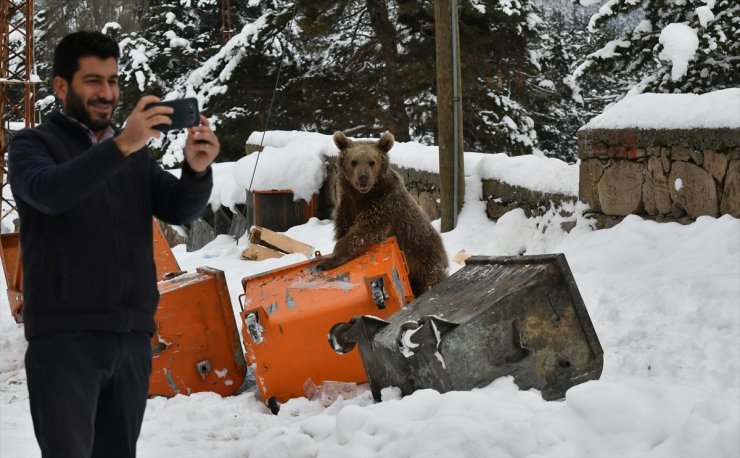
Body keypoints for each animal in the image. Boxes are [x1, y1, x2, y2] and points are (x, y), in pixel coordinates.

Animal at [316, 131, 448, 298]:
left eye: (372, 162)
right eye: (353, 162)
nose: (363, 177)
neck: (362, 196)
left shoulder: (384, 205)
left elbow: (363, 232)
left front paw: (327, 261)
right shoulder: (346, 207)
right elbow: (345, 230)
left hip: (424, 258)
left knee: (431, 279)